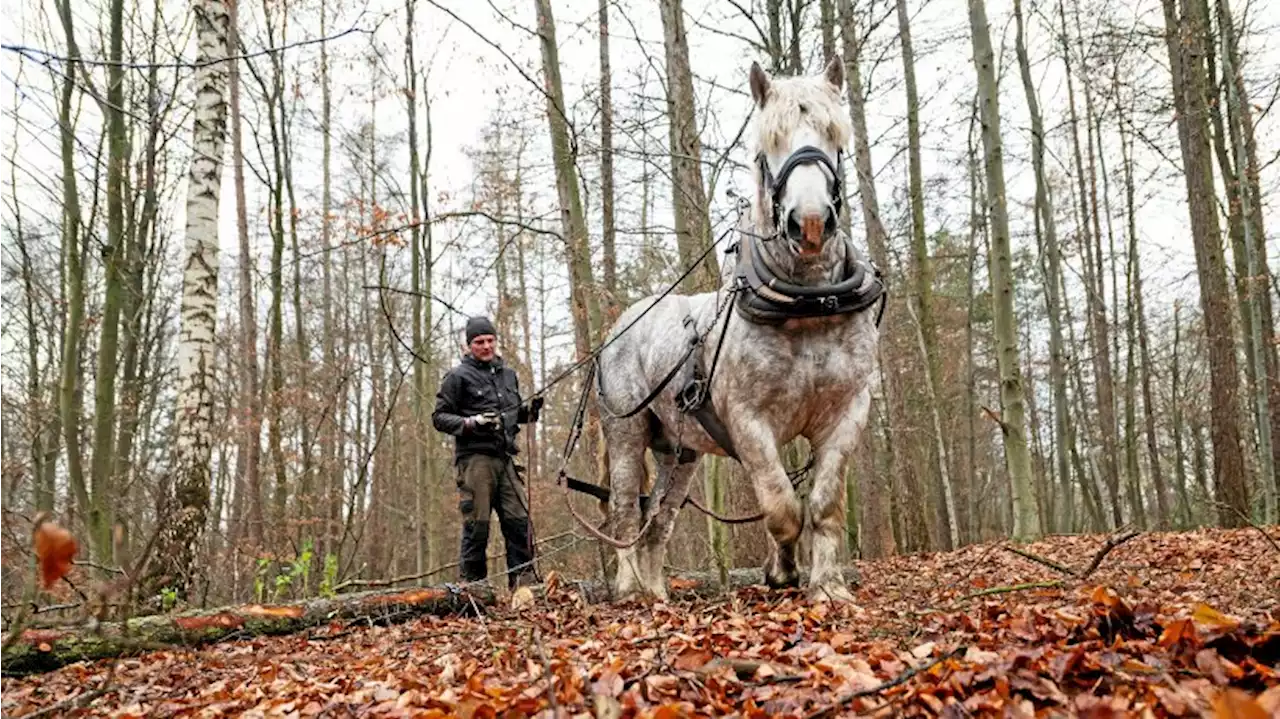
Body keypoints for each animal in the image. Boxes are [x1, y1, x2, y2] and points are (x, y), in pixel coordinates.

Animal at [586, 55, 885, 601]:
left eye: (835, 136)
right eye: (766, 146)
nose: (811, 223)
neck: (807, 304)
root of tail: (620, 326)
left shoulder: (847, 412)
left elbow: (823, 503)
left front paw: (828, 586)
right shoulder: (748, 421)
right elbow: (781, 504)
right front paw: (782, 572)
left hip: (679, 453)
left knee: (659, 518)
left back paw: (657, 596)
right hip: (626, 433)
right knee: (624, 513)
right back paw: (630, 588)